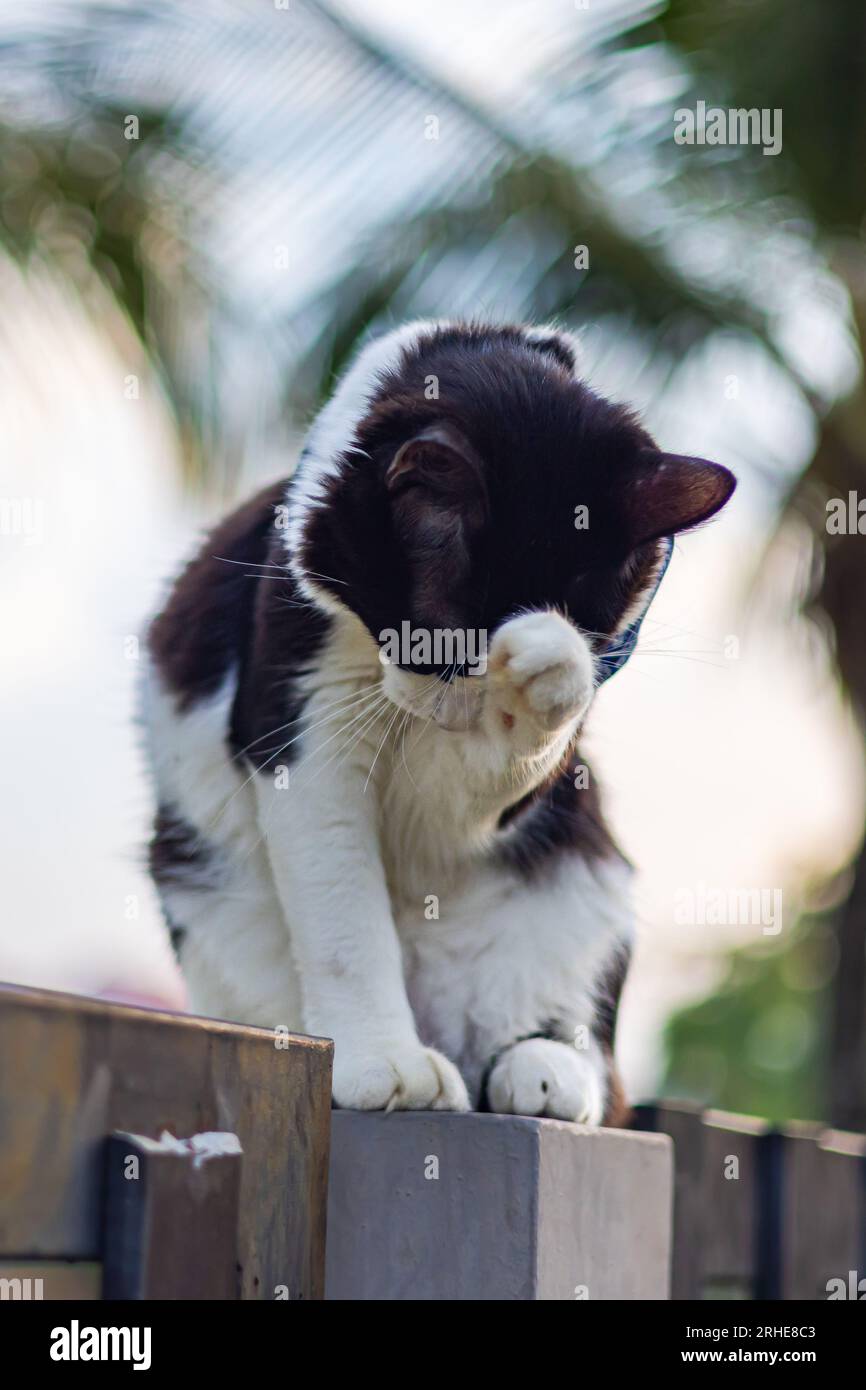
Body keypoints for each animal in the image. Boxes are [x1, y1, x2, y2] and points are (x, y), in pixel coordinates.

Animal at [142, 319, 733, 1123]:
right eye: (430, 642)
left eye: (589, 627)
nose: (456, 708)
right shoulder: (302, 709)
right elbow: (345, 923)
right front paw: (382, 1063)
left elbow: (495, 776)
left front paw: (547, 662)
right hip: (217, 910)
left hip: (586, 886)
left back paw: (545, 1071)